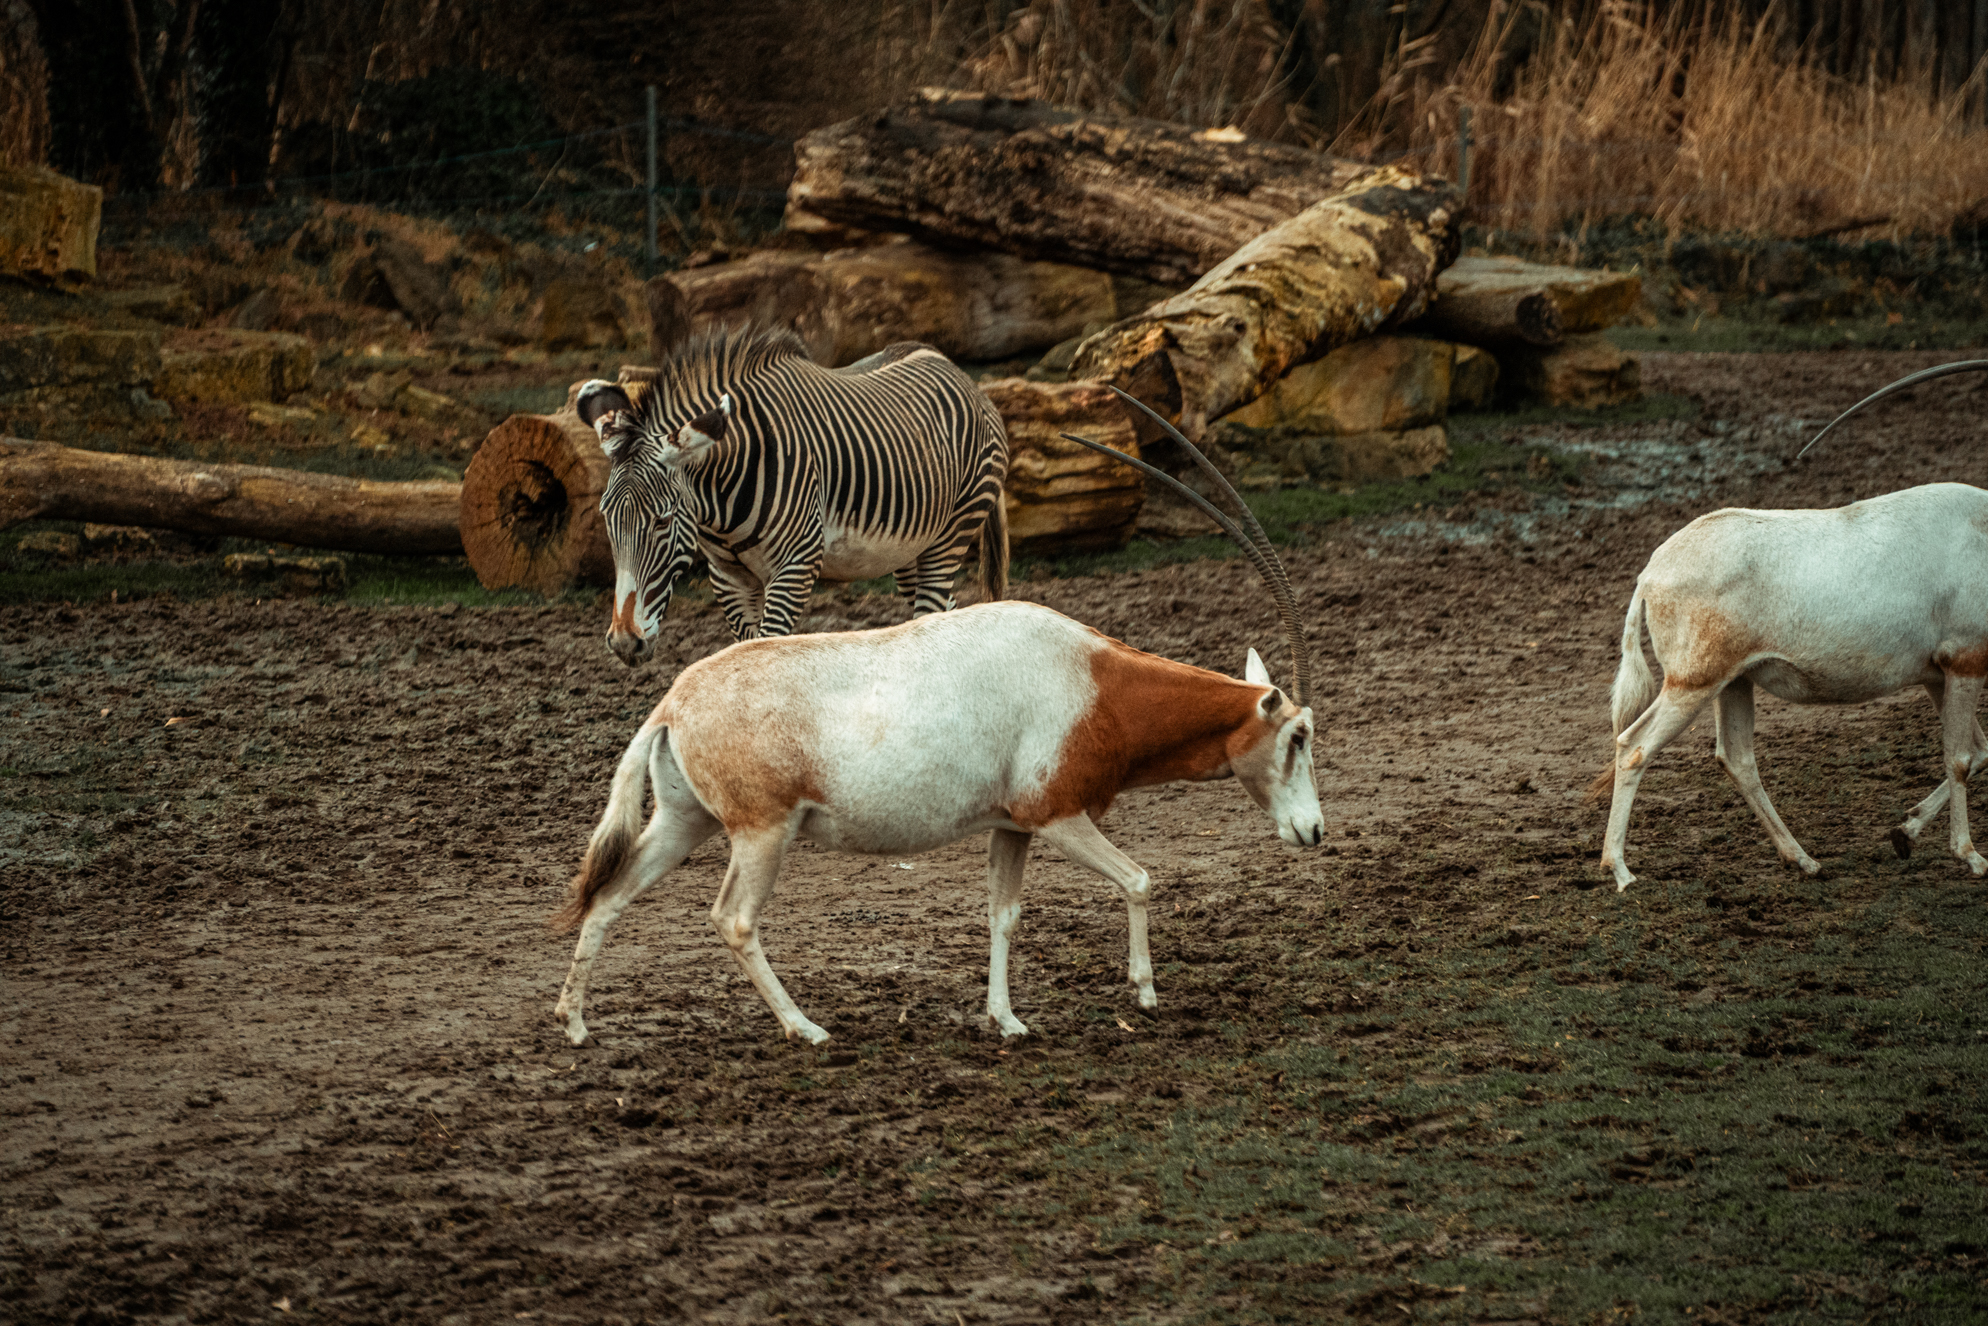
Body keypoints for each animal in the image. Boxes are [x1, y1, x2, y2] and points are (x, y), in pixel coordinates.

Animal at [573, 325, 1009, 665]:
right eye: (607, 519)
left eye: (662, 521)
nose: (625, 643)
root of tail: (955, 368)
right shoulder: (728, 576)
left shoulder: (797, 563)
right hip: (908, 549)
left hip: (954, 530)